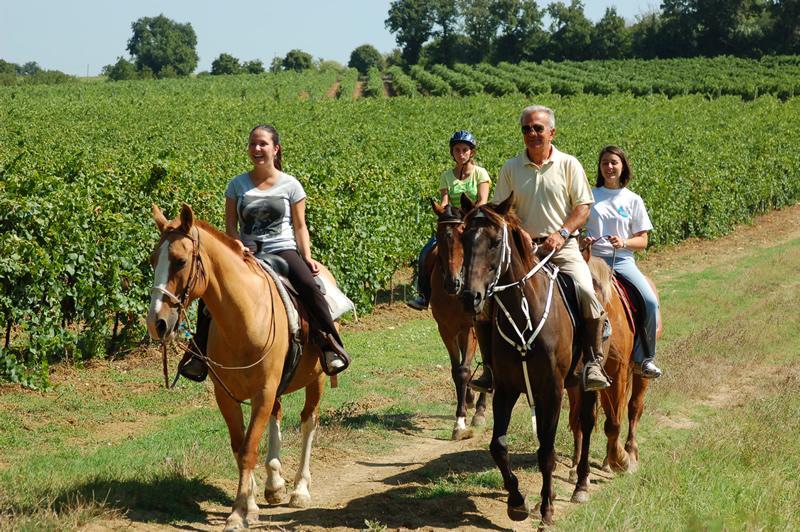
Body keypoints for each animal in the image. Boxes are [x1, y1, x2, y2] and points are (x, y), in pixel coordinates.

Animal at [147, 205, 332, 532]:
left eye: (180, 261)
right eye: (153, 260)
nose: (156, 322)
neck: (244, 318)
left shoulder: (263, 392)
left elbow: (248, 450)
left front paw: (236, 514)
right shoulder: (227, 396)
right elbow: (239, 447)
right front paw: (251, 505)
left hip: (317, 378)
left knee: (309, 421)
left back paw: (299, 489)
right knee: (277, 416)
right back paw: (274, 485)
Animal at [456, 192, 600, 524]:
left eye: (496, 242)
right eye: (464, 239)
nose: (470, 297)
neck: (525, 312)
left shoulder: (552, 391)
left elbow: (546, 451)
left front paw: (546, 509)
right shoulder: (506, 390)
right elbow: (498, 446)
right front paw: (517, 501)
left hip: (583, 384)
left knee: (586, 424)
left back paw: (581, 485)